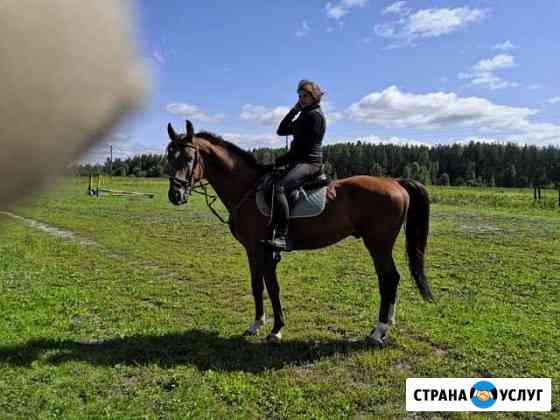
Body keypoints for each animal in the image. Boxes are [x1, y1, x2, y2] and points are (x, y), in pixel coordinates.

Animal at [166, 120, 434, 346]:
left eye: (189, 158)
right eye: (169, 156)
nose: (175, 195)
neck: (248, 189)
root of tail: (395, 182)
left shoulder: (264, 249)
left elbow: (272, 287)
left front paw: (276, 330)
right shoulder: (252, 251)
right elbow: (257, 285)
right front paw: (256, 325)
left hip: (378, 244)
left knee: (389, 279)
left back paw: (379, 331)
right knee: (391, 279)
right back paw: (387, 324)